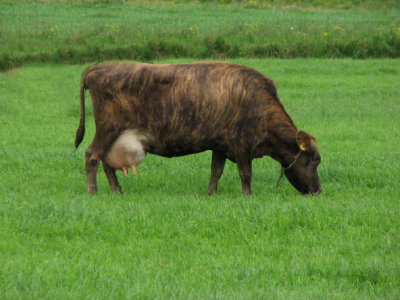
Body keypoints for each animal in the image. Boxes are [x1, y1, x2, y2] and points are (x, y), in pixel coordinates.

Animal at [74, 62, 322, 196]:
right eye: (315, 160)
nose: (318, 191)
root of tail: (100, 67)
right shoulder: (242, 144)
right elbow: (246, 173)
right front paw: (248, 195)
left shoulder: (221, 145)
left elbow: (216, 171)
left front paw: (210, 193)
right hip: (108, 128)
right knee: (92, 156)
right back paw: (93, 191)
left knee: (107, 162)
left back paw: (117, 190)